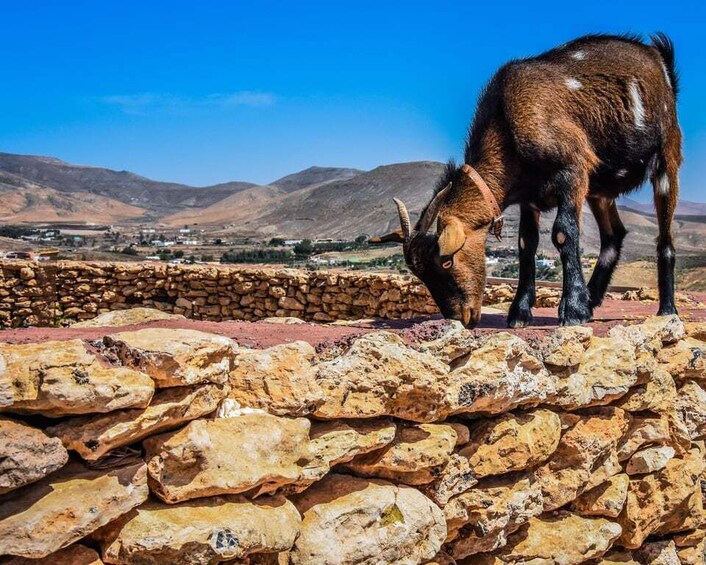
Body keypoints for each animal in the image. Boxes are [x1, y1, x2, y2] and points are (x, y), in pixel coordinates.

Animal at [372, 33, 680, 328]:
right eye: (420, 272)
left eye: (446, 261)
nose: (460, 316)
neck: (507, 123)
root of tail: (657, 55)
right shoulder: (529, 198)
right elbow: (526, 244)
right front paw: (520, 312)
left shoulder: (573, 169)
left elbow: (564, 232)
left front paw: (572, 310)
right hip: (600, 189)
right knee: (614, 235)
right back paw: (592, 299)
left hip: (667, 158)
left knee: (664, 237)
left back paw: (666, 310)